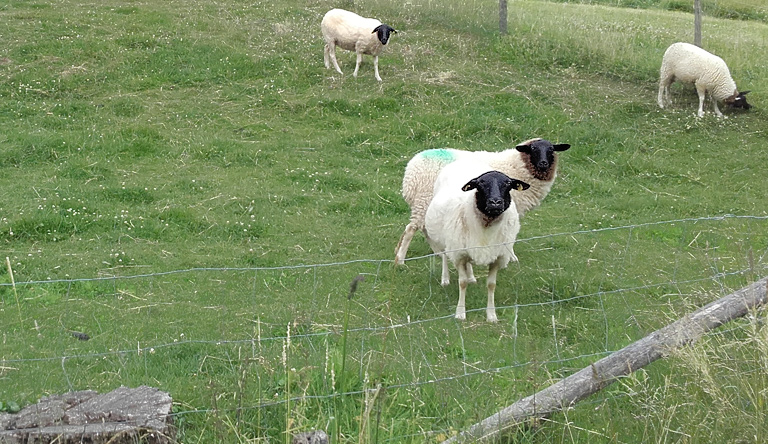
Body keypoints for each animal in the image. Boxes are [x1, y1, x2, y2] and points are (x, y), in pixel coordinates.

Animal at [396, 138, 568, 268]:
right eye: (533, 149)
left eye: (551, 150)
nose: (544, 163)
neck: (518, 166)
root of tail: (411, 171)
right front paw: (511, 257)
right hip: (423, 199)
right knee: (411, 229)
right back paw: (401, 260)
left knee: (425, 227)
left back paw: (438, 252)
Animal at [426, 163, 528, 322]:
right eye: (481, 184)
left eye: (508, 183)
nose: (495, 202)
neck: (486, 225)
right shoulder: (459, 255)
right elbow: (462, 283)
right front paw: (460, 312)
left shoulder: (497, 257)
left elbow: (491, 285)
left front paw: (491, 315)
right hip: (445, 238)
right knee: (444, 256)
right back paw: (445, 279)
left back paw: (472, 277)